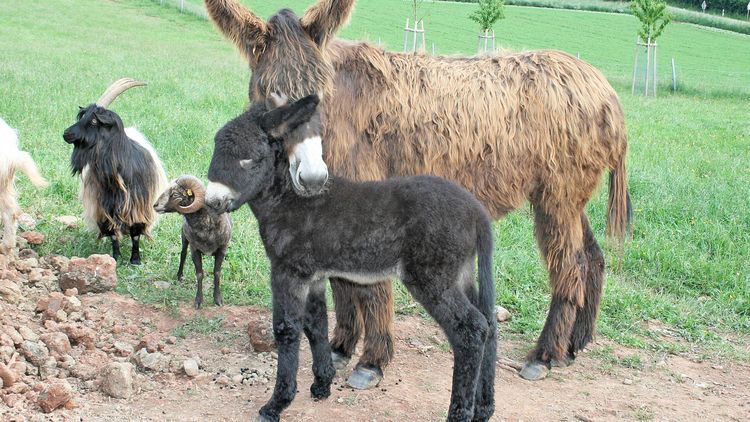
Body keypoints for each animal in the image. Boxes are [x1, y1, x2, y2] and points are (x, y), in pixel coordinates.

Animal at [62, 78, 167, 264]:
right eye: (83, 116)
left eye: (94, 121)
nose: (66, 133)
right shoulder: (104, 208)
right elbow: (112, 234)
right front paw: (116, 257)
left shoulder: (138, 207)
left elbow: (135, 233)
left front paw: (135, 260)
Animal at [153, 176, 232, 310]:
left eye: (175, 194)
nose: (155, 205)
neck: (207, 230)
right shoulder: (195, 250)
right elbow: (199, 274)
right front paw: (198, 301)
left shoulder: (222, 250)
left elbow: (217, 273)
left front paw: (218, 300)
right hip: (184, 239)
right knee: (183, 255)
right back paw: (179, 277)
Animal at [206, 95, 500, 422]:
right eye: (216, 150)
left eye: (249, 160)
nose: (211, 201)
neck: (288, 200)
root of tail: (475, 210)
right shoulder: (314, 276)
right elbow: (316, 324)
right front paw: (322, 384)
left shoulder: (288, 272)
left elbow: (287, 329)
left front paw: (276, 404)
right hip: (461, 274)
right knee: (489, 325)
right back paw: (484, 408)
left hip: (432, 279)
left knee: (471, 330)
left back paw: (460, 413)